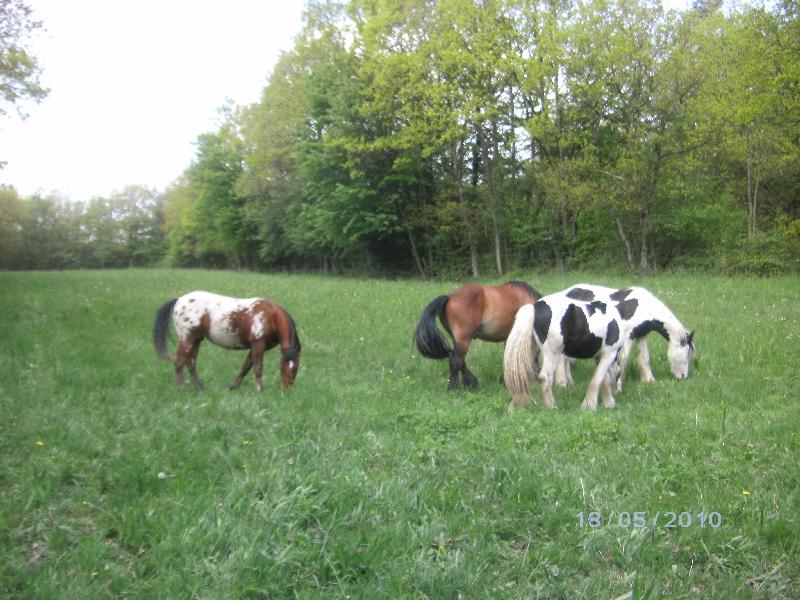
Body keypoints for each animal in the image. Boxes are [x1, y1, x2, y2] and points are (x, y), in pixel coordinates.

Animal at [152, 292, 300, 394]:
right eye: (283, 366)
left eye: (295, 368)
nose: (287, 390)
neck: (271, 316)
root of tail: (179, 300)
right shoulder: (258, 344)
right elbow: (258, 368)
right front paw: (258, 390)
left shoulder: (254, 347)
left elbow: (245, 367)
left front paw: (233, 387)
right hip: (187, 339)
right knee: (179, 362)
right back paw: (182, 387)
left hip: (196, 340)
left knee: (191, 362)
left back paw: (198, 387)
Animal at [412, 280, 544, 392]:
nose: (540, 378)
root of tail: (449, 298)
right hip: (464, 340)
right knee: (455, 360)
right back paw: (454, 388)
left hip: (458, 340)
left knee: (460, 361)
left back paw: (471, 382)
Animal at [556, 284, 692, 392]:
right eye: (686, 353)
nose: (683, 377)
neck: (643, 307)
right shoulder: (628, 336)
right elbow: (623, 359)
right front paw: (618, 386)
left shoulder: (641, 334)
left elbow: (644, 358)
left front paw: (649, 380)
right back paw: (562, 383)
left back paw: (569, 382)